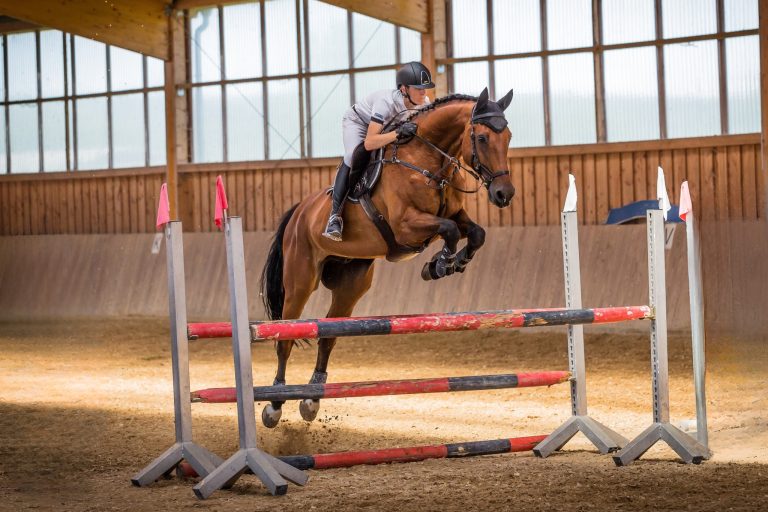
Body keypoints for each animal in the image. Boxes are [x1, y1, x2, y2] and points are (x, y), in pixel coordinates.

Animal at [259, 87, 516, 427]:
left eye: (508, 136)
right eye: (483, 137)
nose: (504, 194)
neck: (428, 161)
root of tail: (299, 211)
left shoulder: (453, 214)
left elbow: (476, 233)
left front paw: (451, 263)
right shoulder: (407, 225)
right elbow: (448, 231)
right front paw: (439, 264)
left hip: (351, 283)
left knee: (328, 335)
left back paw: (311, 400)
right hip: (300, 281)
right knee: (286, 337)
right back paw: (275, 404)